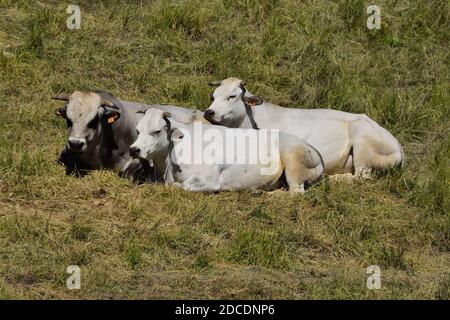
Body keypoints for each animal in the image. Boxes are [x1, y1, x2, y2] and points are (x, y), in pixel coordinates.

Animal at [126, 109, 324, 192]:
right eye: (138, 130)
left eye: (156, 131)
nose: (134, 150)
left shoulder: (210, 177)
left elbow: (184, 186)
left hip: (293, 158)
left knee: (296, 192)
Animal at [204, 77, 404, 178]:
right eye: (213, 96)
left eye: (232, 96)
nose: (209, 112)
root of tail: (399, 146)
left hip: (363, 148)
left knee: (361, 177)